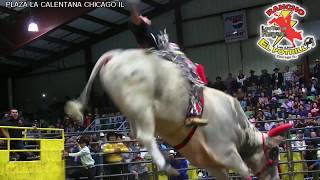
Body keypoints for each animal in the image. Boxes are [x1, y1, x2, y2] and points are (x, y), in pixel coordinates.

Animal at [66, 49, 292, 180]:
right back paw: (167, 165)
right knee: (145, 136)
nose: (275, 178)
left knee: (137, 134)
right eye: (274, 152)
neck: (238, 126)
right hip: (142, 106)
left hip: (132, 111)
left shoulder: (212, 164)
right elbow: (245, 173)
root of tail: (116, 55)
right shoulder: (228, 153)